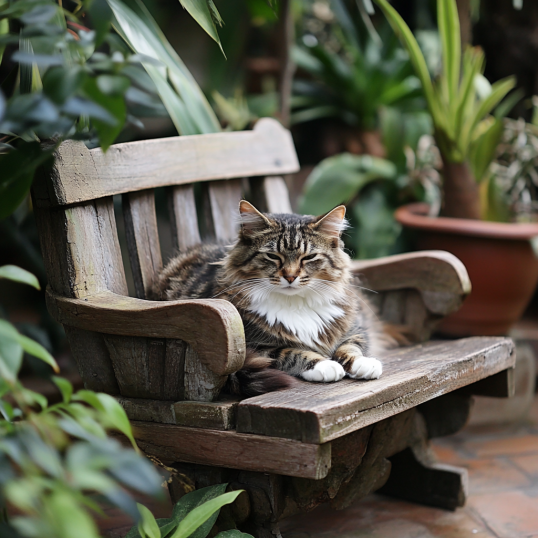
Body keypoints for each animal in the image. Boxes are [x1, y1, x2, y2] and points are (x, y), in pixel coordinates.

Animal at [151, 200, 386, 394]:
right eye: (273, 256)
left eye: (308, 257)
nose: (290, 276)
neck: (295, 303)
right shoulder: (255, 348)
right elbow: (292, 352)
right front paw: (323, 364)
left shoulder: (354, 327)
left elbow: (351, 346)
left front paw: (364, 363)